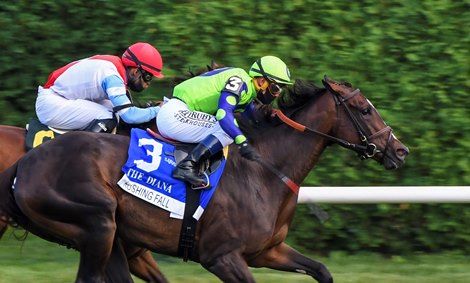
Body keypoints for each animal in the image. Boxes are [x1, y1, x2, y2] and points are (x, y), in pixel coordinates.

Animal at [0, 76, 408, 282]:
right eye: (364, 109)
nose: (400, 150)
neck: (264, 172)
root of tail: (25, 164)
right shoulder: (221, 257)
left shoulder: (267, 251)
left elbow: (322, 271)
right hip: (98, 223)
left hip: (110, 237)